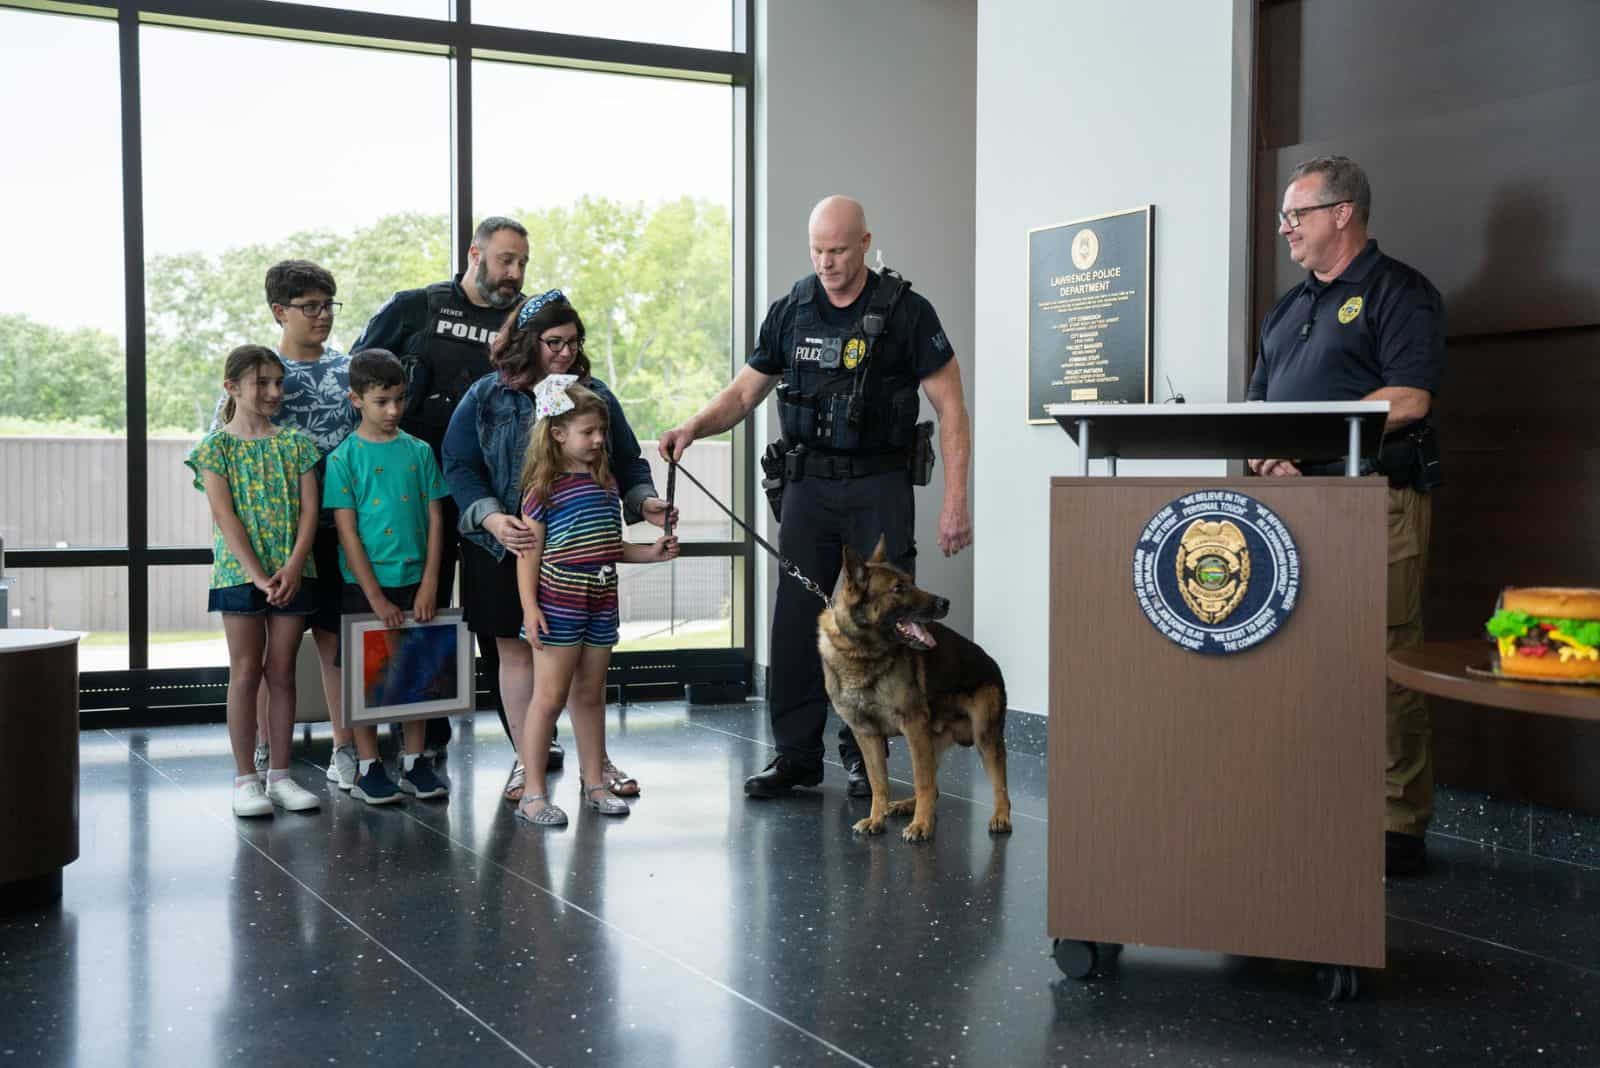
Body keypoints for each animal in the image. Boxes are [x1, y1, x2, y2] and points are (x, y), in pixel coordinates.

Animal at [819, 537, 1004, 837]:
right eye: (898, 588)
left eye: (911, 582)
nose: (945, 602)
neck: (863, 654)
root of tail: (991, 662)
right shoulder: (867, 734)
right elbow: (879, 783)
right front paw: (876, 819)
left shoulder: (913, 726)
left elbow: (922, 781)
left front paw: (921, 825)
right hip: (932, 740)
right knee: (935, 786)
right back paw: (905, 805)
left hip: (983, 737)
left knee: (998, 782)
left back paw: (1001, 816)